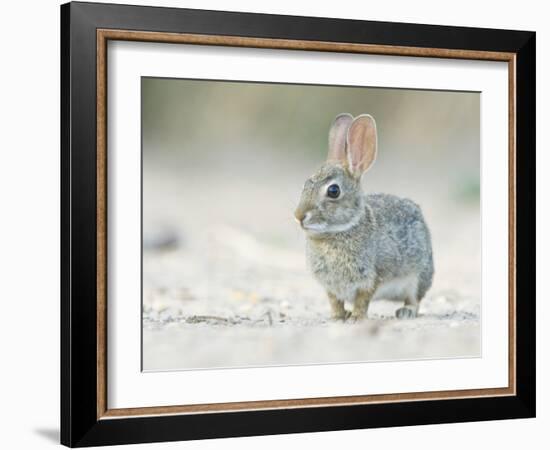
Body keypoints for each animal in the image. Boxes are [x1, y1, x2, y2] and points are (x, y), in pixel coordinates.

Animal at [296, 114, 434, 322]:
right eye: (305, 185)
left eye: (333, 191)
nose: (298, 216)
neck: (339, 231)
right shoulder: (331, 287)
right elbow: (335, 302)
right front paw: (338, 317)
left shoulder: (370, 278)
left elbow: (362, 300)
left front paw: (356, 318)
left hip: (418, 276)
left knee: (415, 300)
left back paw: (406, 312)